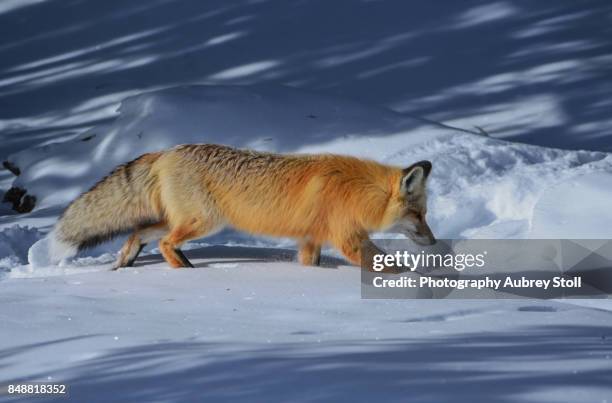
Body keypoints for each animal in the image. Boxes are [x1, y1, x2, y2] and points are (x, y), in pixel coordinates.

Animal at [51, 144, 436, 270]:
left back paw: (126, 260)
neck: (356, 190)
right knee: (162, 242)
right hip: (205, 222)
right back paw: (184, 271)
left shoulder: (311, 240)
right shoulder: (348, 238)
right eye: (417, 215)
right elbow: (388, 265)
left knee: (139, 232)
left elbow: (310, 264)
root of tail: (168, 150)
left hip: (180, 219)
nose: (433, 242)